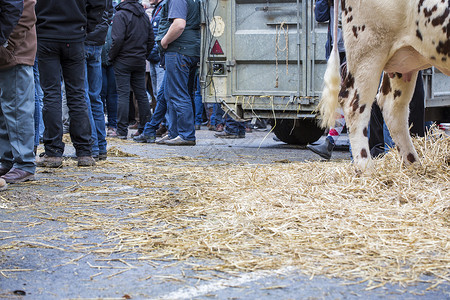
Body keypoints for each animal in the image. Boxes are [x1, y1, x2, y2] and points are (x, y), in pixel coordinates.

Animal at [318, 0, 448, 171]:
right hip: (368, 49)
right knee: (353, 104)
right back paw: (366, 168)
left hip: (404, 61)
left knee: (392, 107)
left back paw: (414, 166)